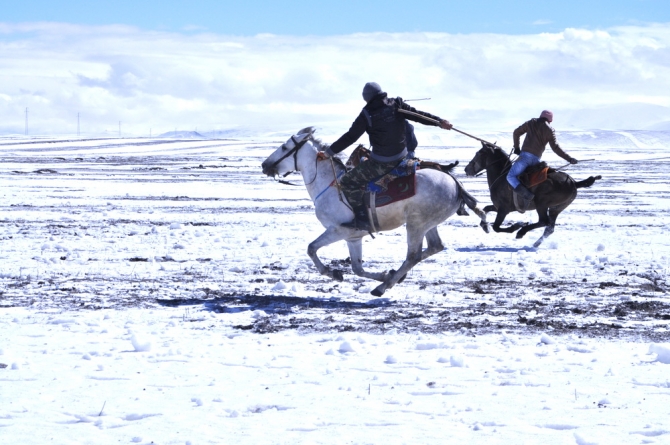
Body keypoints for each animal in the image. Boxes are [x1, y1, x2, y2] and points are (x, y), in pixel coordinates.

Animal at [260, 126, 486, 296]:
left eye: (284, 147)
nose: (264, 165)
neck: (329, 185)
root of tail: (455, 183)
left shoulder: (339, 230)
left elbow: (311, 248)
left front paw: (333, 273)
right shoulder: (353, 237)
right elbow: (357, 268)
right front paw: (382, 274)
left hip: (415, 225)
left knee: (413, 255)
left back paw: (382, 287)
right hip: (427, 224)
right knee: (434, 247)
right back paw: (392, 278)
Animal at [468, 141, 604, 246]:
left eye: (478, 153)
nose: (466, 169)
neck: (501, 177)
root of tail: (573, 183)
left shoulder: (503, 209)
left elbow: (496, 227)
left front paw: (516, 226)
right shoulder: (499, 207)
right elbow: (486, 209)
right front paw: (485, 226)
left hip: (542, 203)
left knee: (544, 221)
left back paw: (521, 231)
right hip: (556, 208)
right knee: (549, 228)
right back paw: (535, 244)